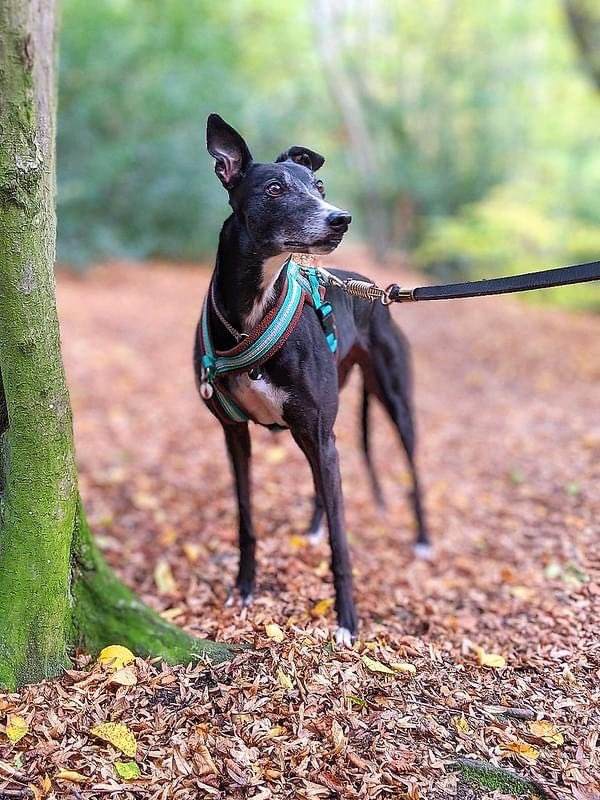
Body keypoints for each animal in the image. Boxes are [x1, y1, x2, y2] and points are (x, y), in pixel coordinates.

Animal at [193, 115, 426, 648]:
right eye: (275, 189)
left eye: (318, 187)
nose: (340, 219)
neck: (253, 312)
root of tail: (373, 289)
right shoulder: (234, 433)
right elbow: (246, 518)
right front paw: (244, 587)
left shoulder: (318, 433)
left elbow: (344, 543)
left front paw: (347, 621)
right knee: (323, 483)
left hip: (392, 403)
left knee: (412, 469)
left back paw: (423, 539)